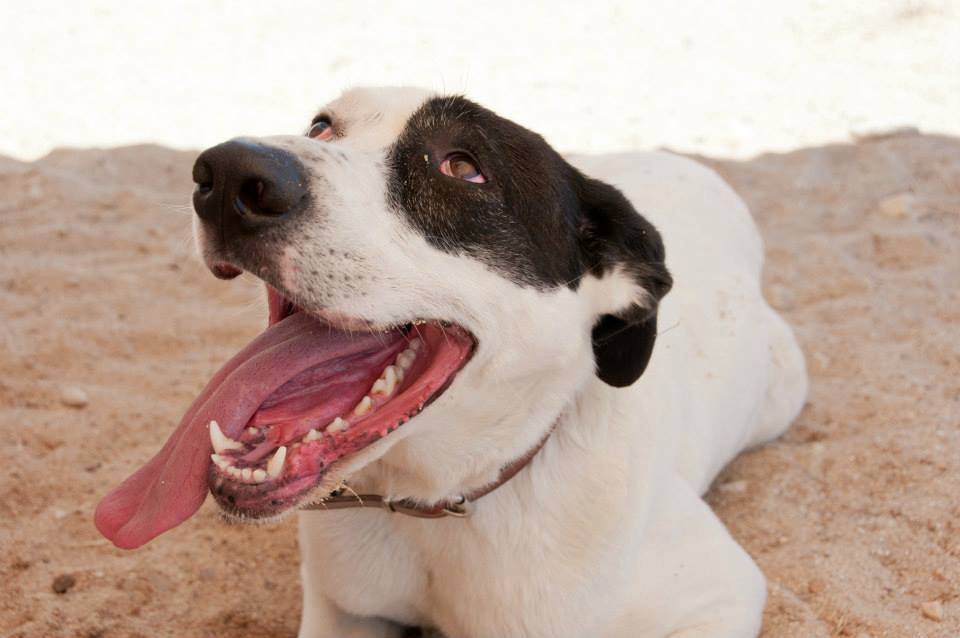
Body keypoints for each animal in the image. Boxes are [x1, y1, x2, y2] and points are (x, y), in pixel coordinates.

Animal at [97, 86, 808, 638]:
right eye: (321, 125)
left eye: (462, 167)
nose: (225, 174)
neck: (439, 505)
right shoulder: (341, 605)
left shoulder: (718, 597)